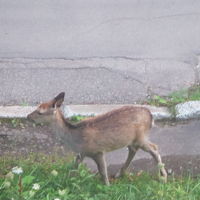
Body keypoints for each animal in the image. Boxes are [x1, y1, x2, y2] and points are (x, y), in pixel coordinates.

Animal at [27, 91, 167, 185]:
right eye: (37, 107)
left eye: (40, 112)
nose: (28, 116)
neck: (75, 138)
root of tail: (151, 116)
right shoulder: (82, 153)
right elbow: (74, 165)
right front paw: (67, 180)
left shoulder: (97, 151)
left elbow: (102, 171)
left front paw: (107, 187)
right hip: (132, 139)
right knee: (133, 150)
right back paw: (119, 174)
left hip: (141, 136)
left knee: (154, 148)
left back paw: (163, 177)